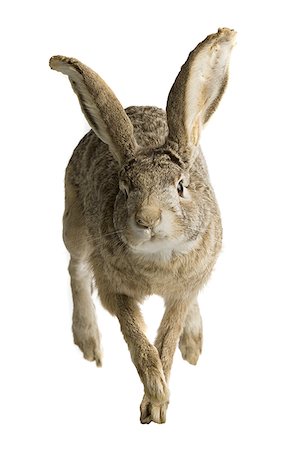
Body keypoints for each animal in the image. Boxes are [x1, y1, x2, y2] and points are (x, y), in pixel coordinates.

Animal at [49, 27, 237, 422]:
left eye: (181, 186)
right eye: (123, 188)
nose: (147, 219)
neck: (159, 256)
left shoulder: (184, 288)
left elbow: (167, 336)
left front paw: (158, 400)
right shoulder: (115, 289)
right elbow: (139, 341)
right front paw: (156, 398)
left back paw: (193, 344)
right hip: (74, 225)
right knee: (76, 268)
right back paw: (87, 340)